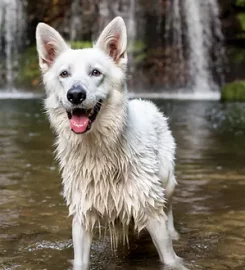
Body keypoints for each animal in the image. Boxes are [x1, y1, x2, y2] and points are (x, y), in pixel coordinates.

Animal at [35, 16, 186, 268]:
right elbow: (81, 261)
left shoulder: (149, 208)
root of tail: (145, 102)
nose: (75, 95)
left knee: (169, 208)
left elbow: (168, 257)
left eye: (96, 72)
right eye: (64, 74)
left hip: (166, 181)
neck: (99, 149)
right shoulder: (82, 216)